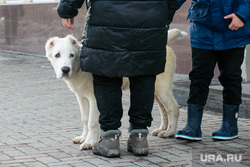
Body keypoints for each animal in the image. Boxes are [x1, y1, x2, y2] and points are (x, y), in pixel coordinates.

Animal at [45, 28, 187, 150]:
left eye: (71, 55)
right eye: (57, 55)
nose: (65, 70)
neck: (79, 66)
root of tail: (165, 45)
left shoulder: (95, 98)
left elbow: (92, 121)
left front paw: (90, 142)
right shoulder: (82, 97)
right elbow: (85, 119)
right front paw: (84, 137)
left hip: (163, 88)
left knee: (173, 107)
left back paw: (169, 132)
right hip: (154, 90)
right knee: (163, 109)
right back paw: (162, 129)